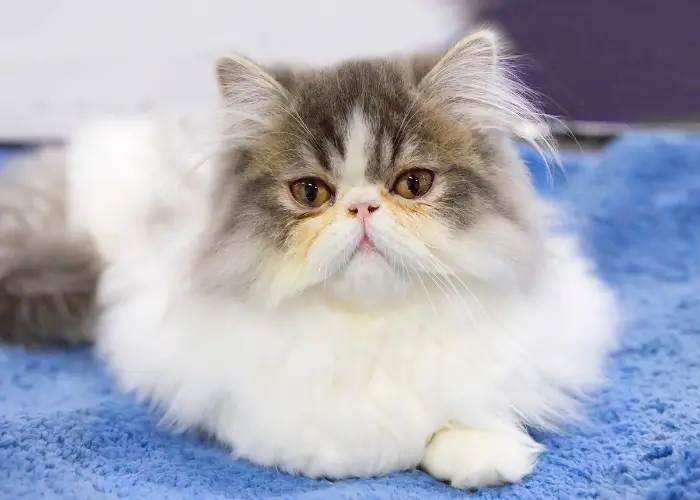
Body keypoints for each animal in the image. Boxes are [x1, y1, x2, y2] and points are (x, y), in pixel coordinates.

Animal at [0, 30, 616, 488]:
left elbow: (481, 405)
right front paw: (359, 454)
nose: (362, 206)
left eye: (413, 183)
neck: (373, 325)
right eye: (312, 193)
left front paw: (478, 451)